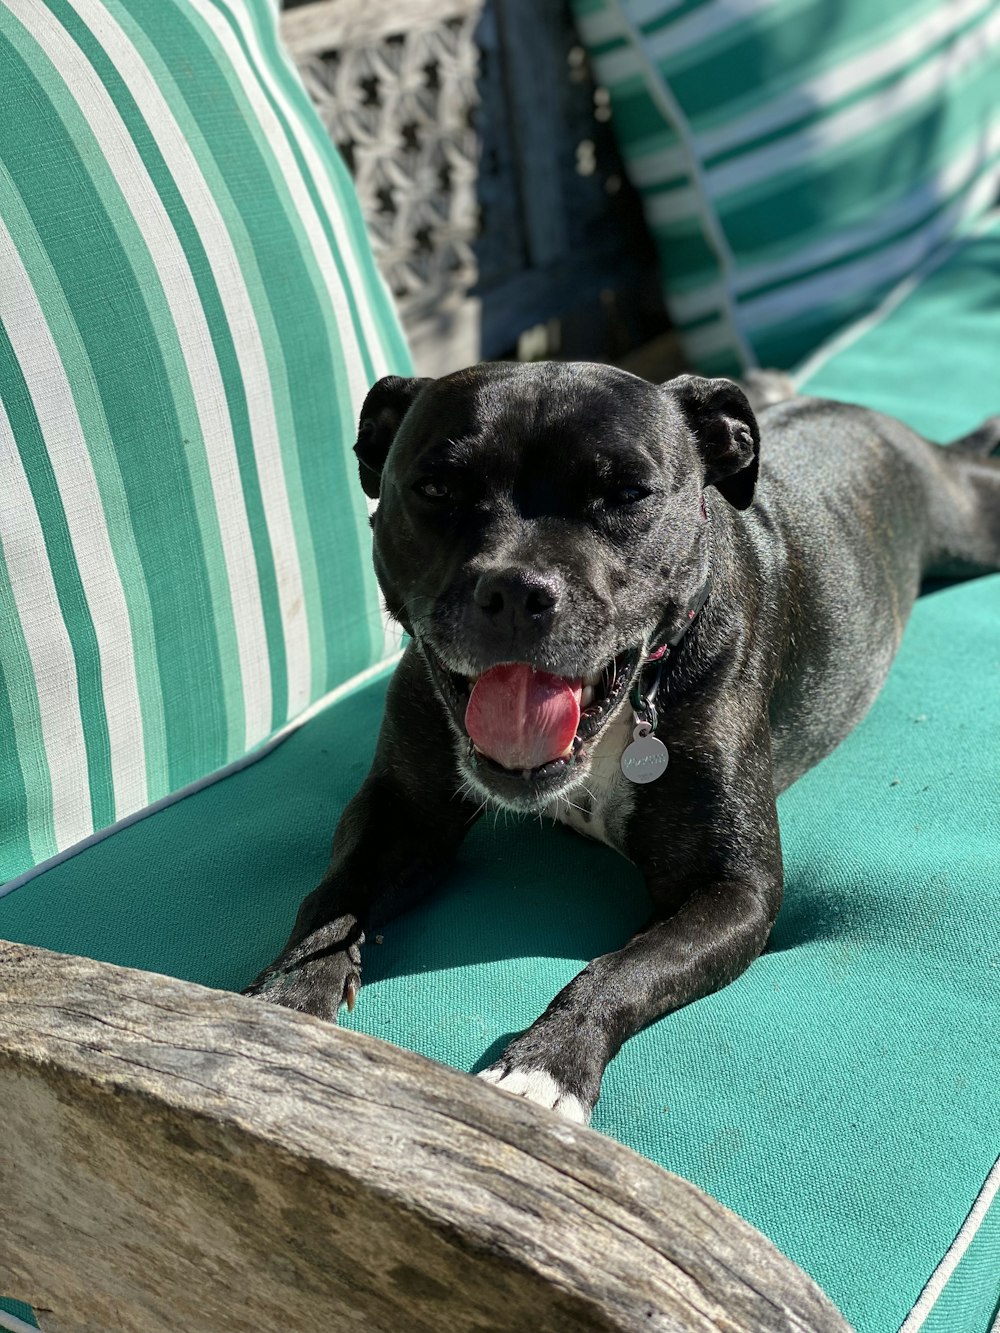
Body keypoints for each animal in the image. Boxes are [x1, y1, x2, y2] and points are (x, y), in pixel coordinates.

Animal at [249, 365, 1000, 1125]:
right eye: (436, 489)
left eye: (627, 495)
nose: (515, 589)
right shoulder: (401, 811)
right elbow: (331, 896)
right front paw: (284, 998)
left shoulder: (734, 889)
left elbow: (625, 967)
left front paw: (546, 1066)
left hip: (967, 520)